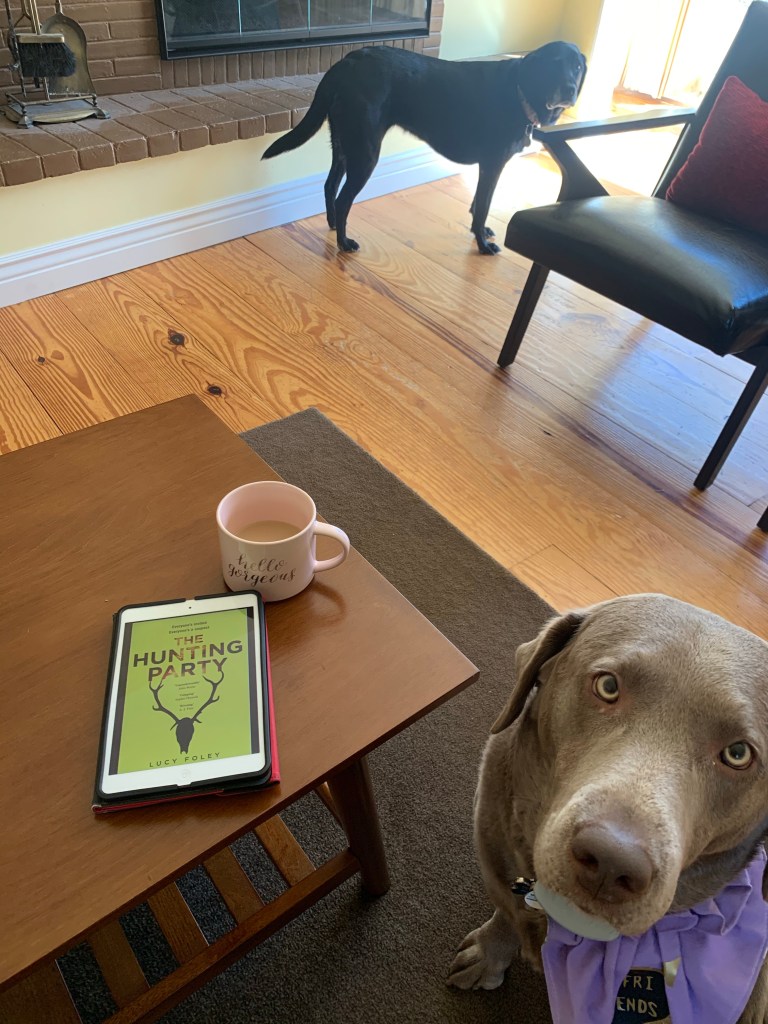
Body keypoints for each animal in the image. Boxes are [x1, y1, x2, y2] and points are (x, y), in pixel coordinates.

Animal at [262, 42, 586, 255]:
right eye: (553, 63)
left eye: (578, 67)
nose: (570, 89)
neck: (518, 91)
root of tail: (346, 63)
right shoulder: (493, 164)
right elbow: (483, 206)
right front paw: (483, 244)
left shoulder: (486, 167)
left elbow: (478, 203)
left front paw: (480, 231)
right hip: (365, 152)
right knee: (343, 199)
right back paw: (344, 243)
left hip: (344, 144)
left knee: (330, 186)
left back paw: (332, 226)